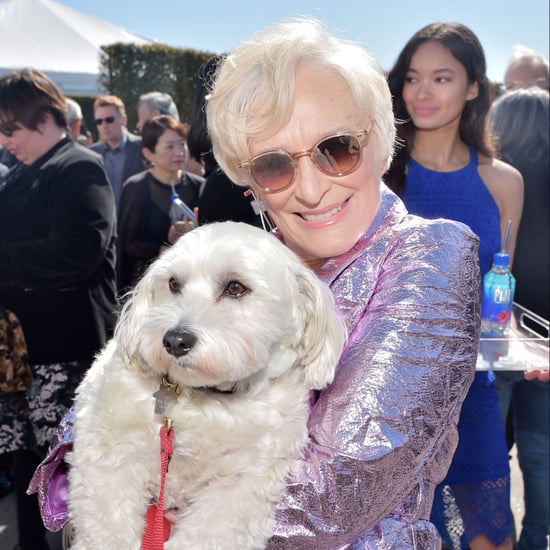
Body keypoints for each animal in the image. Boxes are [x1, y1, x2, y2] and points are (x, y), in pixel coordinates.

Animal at [67, 222, 348, 548]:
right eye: (174, 283)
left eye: (236, 288)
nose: (175, 340)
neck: (204, 402)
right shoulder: (109, 458)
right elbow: (107, 527)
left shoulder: (240, 487)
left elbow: (209, 531)